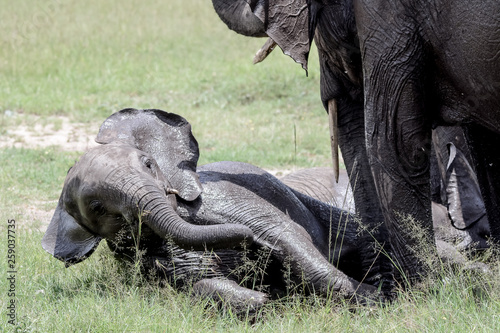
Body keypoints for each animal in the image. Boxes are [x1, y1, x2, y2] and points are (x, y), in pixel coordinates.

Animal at [43, 107, 378, 312]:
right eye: (97, 207)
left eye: (148, 164)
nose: (249, 240)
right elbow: (203, 284)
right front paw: (269, 297)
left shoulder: (217, 195)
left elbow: (285, 233)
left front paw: (376, 299)